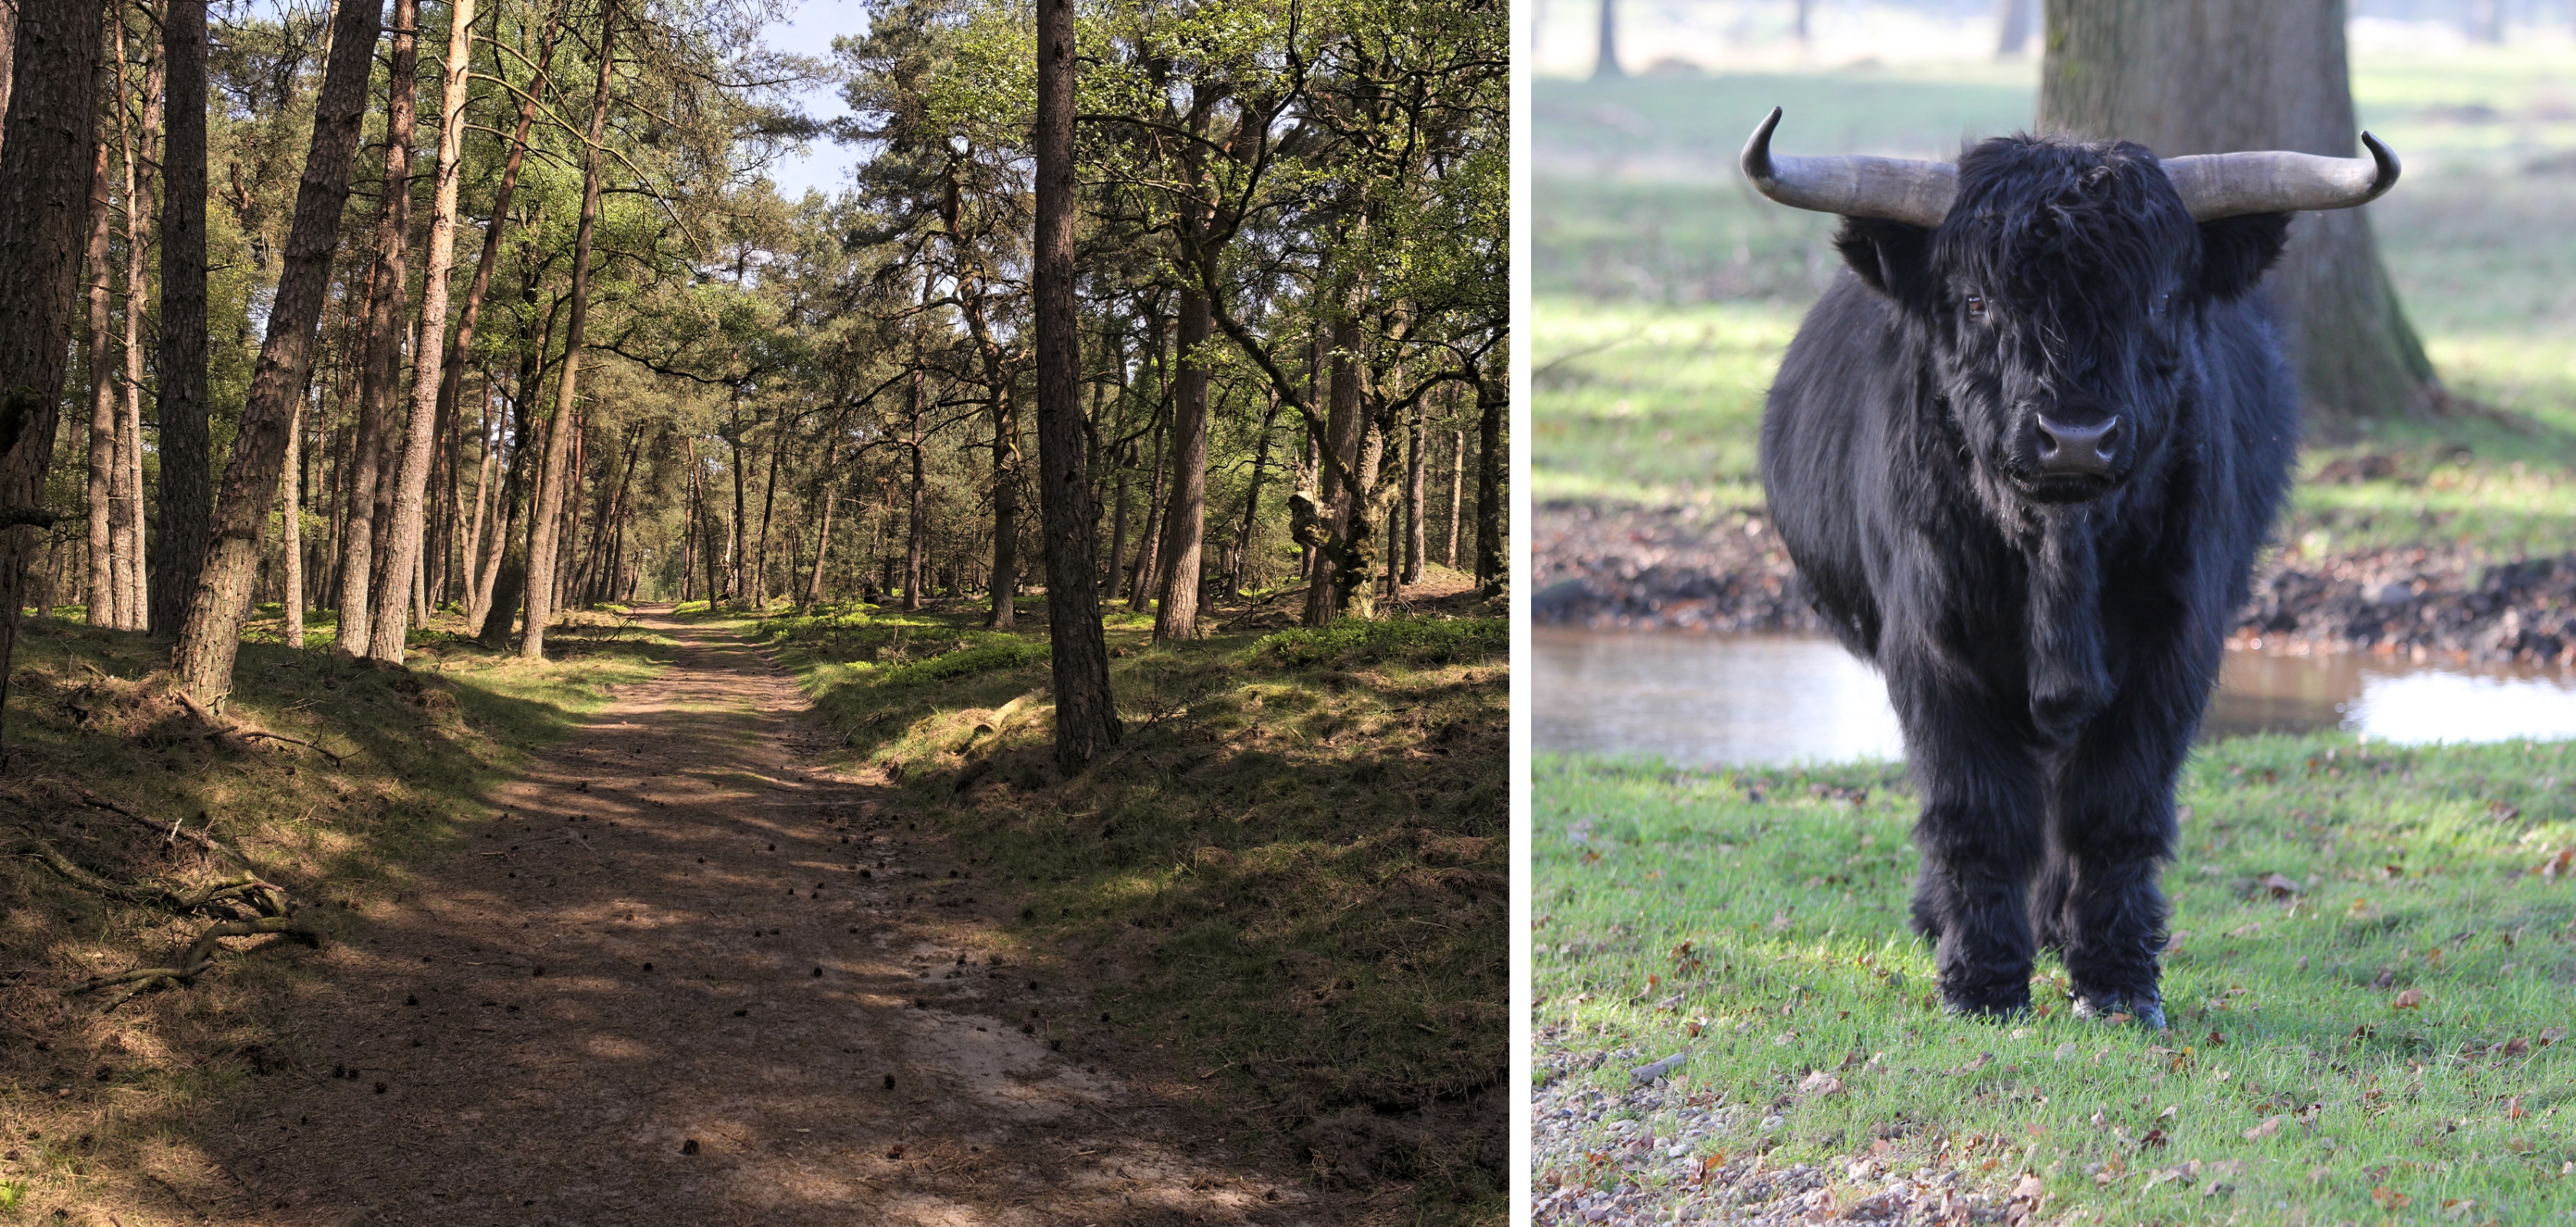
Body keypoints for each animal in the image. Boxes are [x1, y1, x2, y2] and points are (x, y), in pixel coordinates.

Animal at [1741, 110, 2400, 1021]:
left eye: (2159, 299)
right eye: (1977, 300)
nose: (2077, 438)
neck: (2061, 549)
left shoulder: (2171, 650)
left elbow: (2112, 811)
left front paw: (2118, 981)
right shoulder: (1935, 653)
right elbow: (1975, 811)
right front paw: (1981, 982)